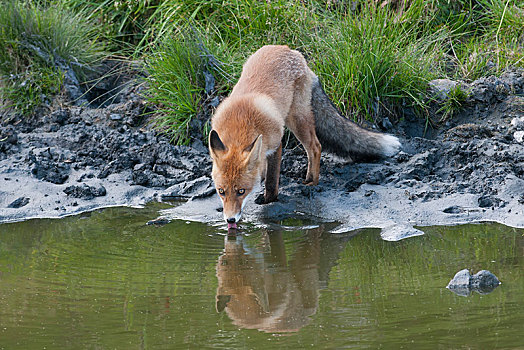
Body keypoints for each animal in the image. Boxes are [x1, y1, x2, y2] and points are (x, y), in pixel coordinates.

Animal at [209, 45, 402, 226]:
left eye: (241, 191)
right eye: (221, 191)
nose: (230, 220)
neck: (240, 123)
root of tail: (290, 50)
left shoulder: (276, 143)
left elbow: (271, 181)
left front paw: (268, 200)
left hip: (296, 119)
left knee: (315, 147)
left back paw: (311, 181)